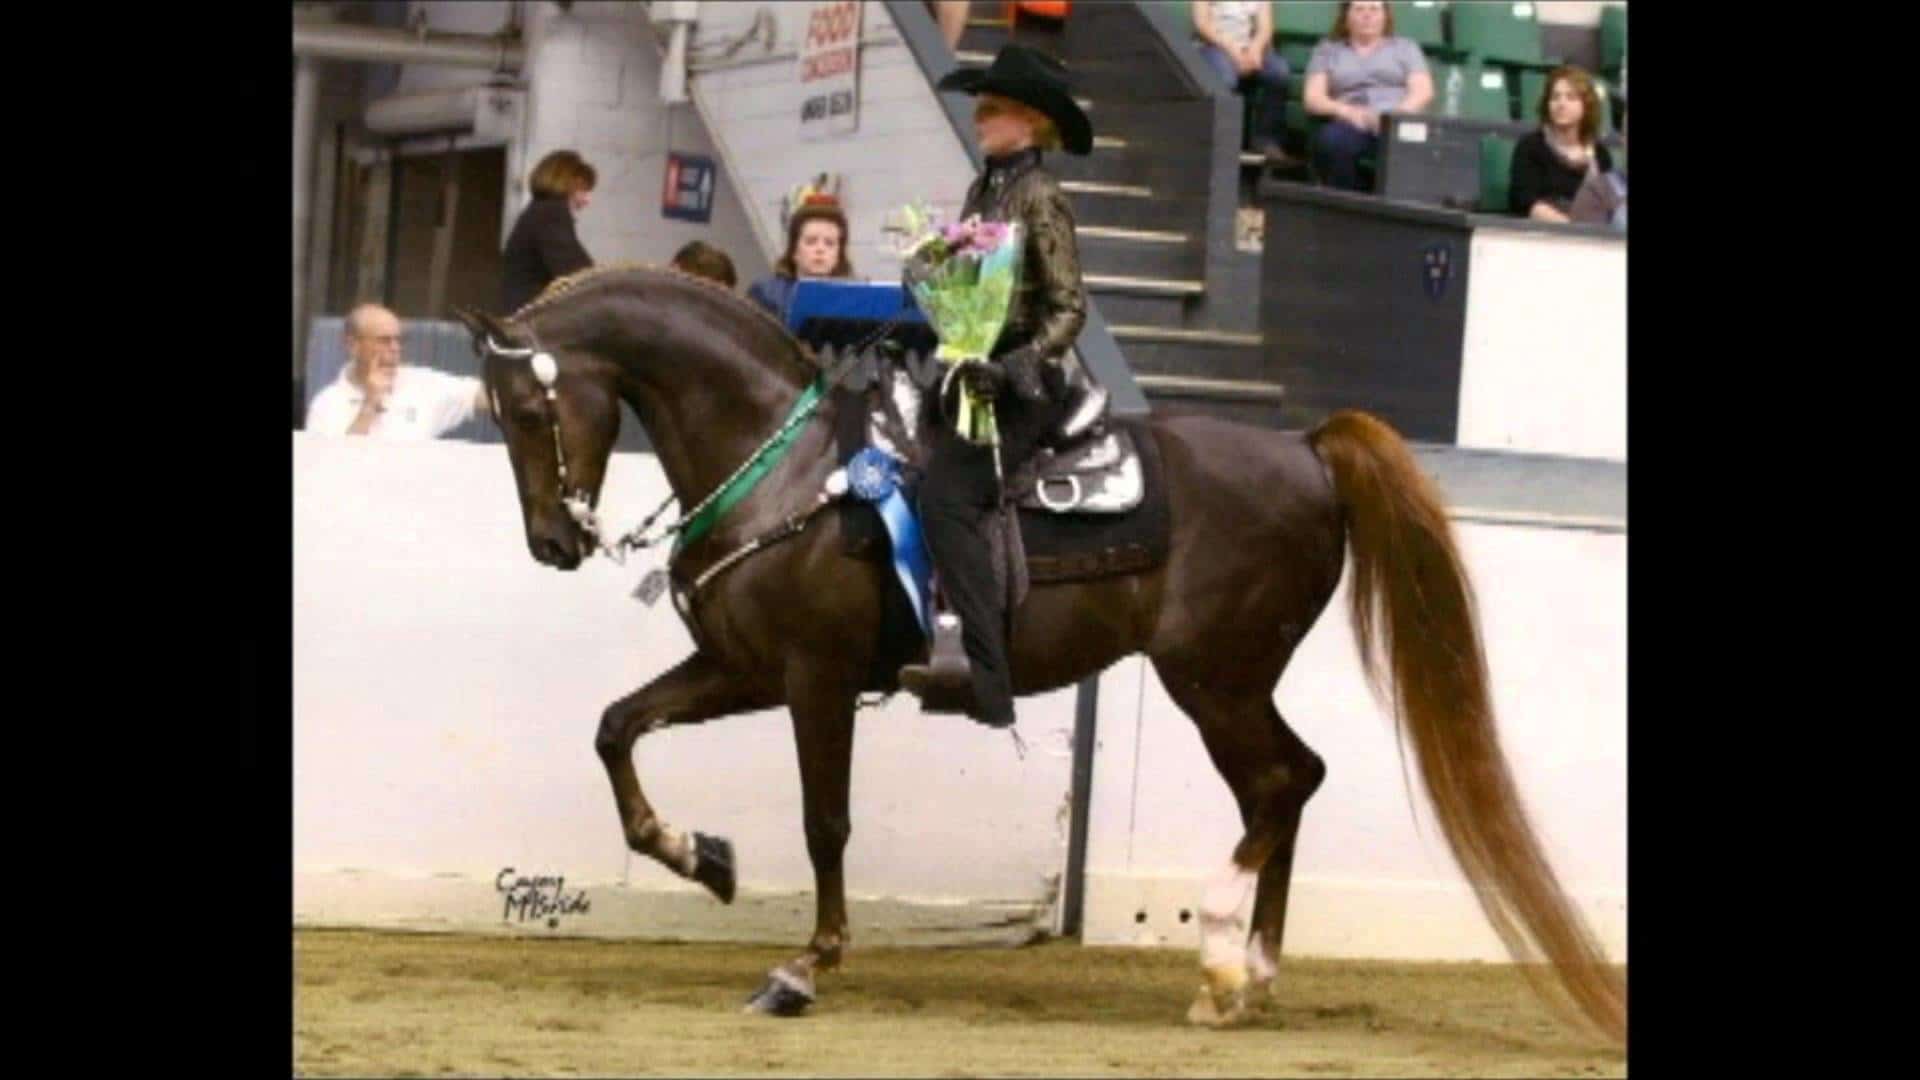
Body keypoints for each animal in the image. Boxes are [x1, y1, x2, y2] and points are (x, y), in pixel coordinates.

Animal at [452, 264, 1625, 1045]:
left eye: (525, 408)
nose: (552, 542)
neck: (790, 471)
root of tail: (1304, 448)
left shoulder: (813, 679)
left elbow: (825, 823)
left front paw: (805, 967)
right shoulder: (742, 669)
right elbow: (617, 729)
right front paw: (703, 858)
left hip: (1215, 678)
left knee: (1287, 781)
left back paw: (1219, 955)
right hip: (1231, 681)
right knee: (1285, 786)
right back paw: (1248, 975)